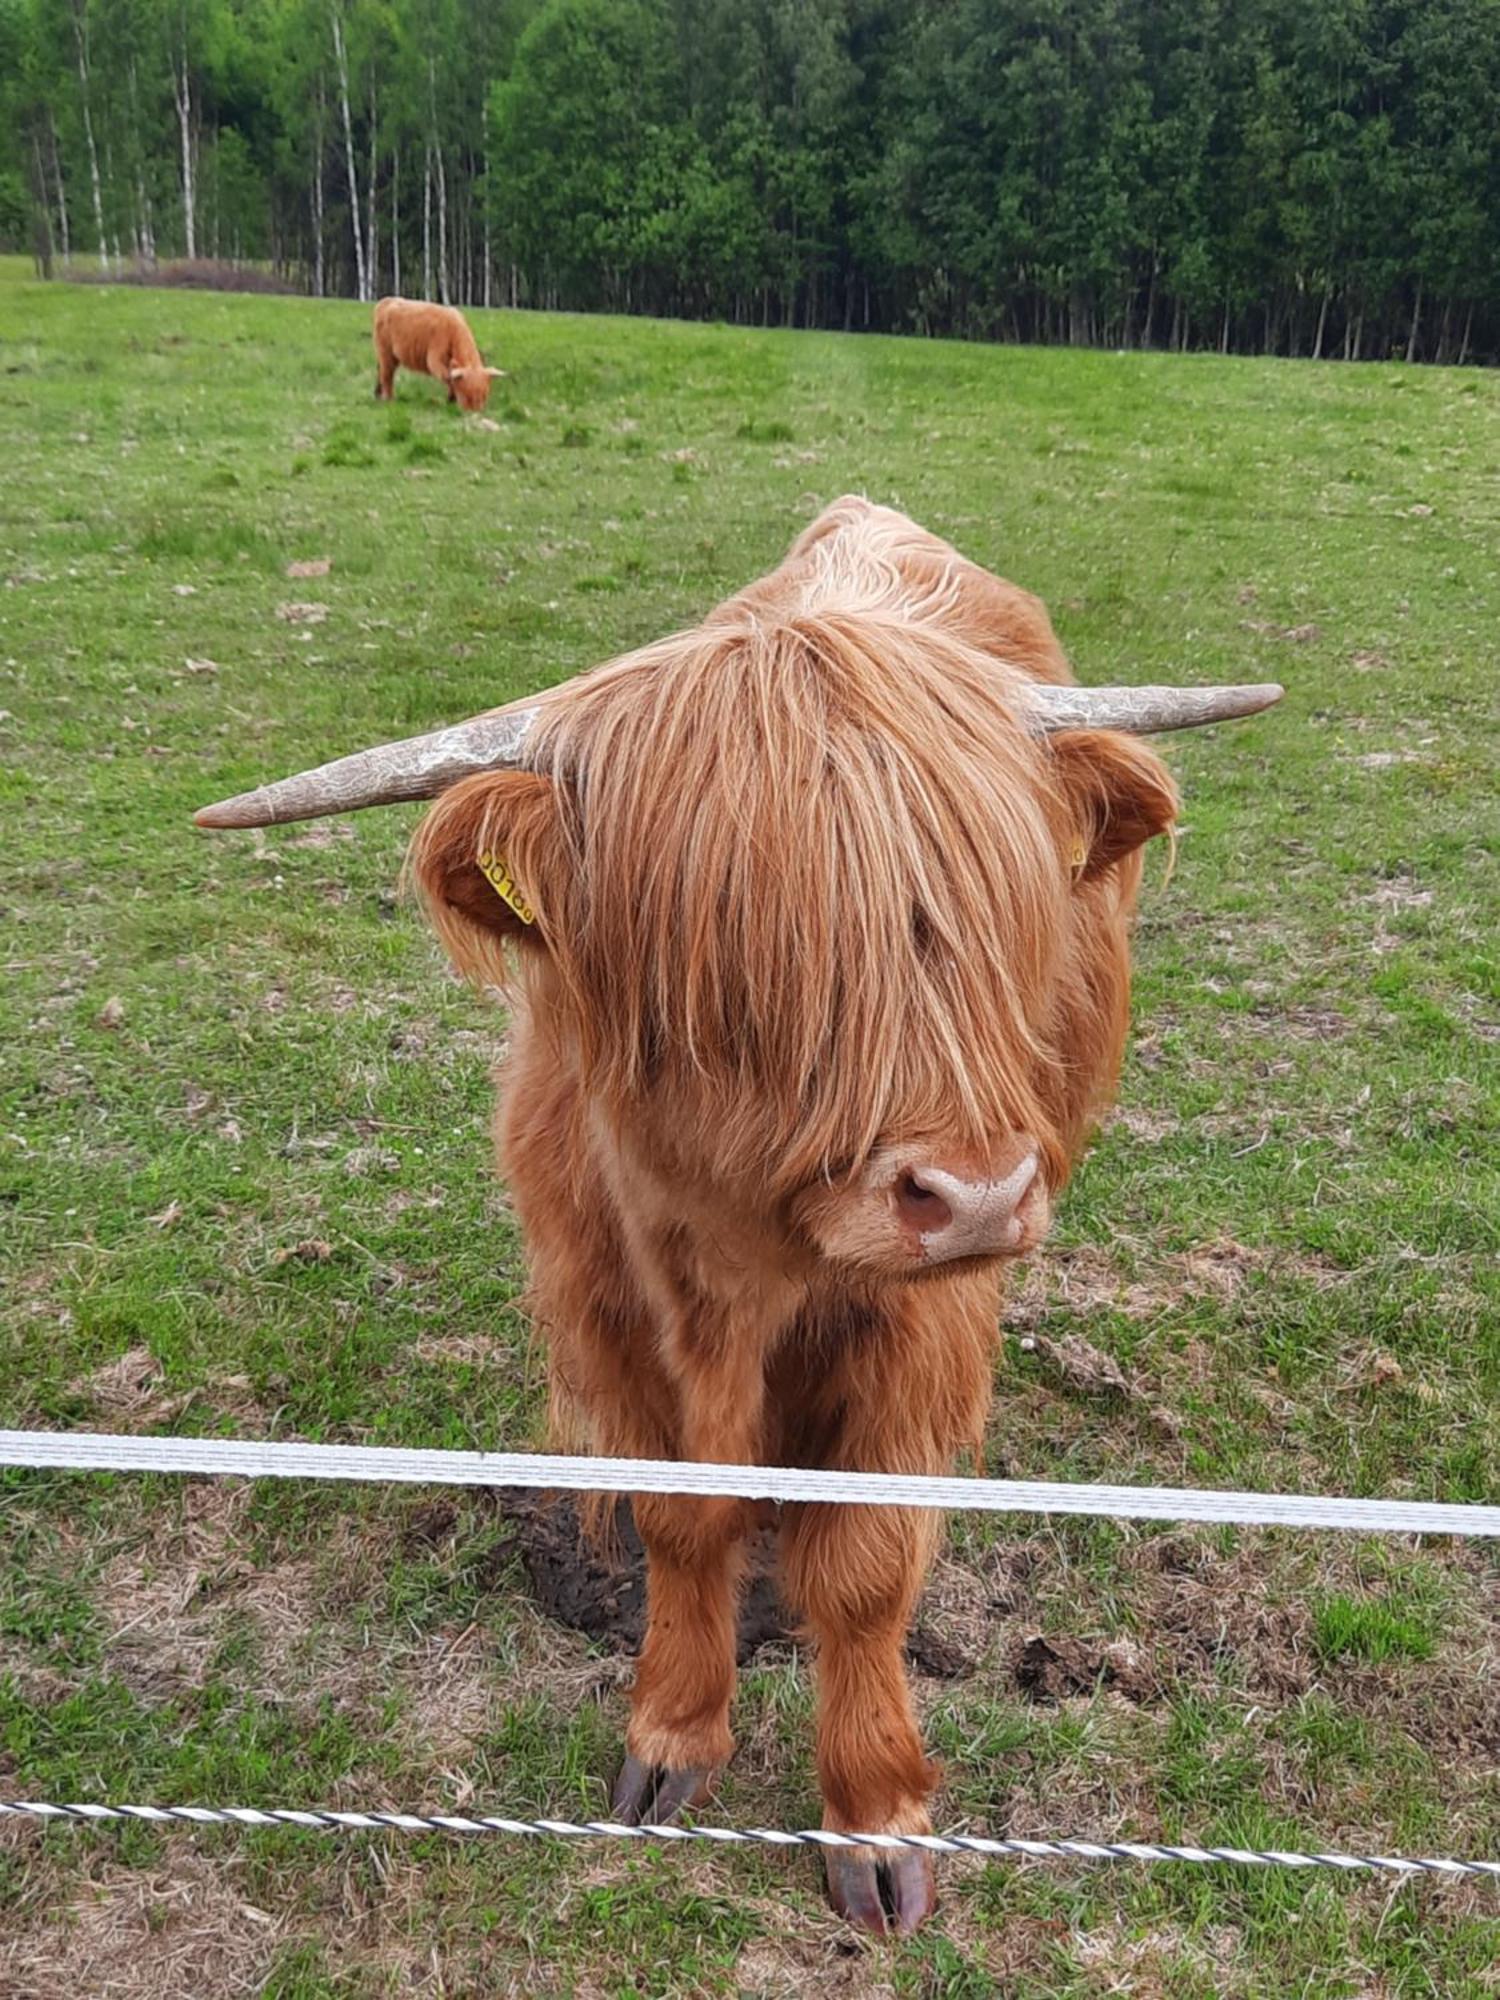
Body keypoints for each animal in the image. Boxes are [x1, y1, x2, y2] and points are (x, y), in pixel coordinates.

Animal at [194, 492, 1288, 1928]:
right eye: (746, 949)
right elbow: (682, 1514)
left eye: (995, 915)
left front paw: (874, 1815)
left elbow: (866, 1563)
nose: (978, 1194)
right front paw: (672, 1730)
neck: (738, 1262)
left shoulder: (922, 1326)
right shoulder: (606, 1299)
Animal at [374, 294, 508, 412]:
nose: (474, 412)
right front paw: (451, 399)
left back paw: (377, 394)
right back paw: (388, 398)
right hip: (385, 351)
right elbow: (448, 377)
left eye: (484, 395)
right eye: (466, 395)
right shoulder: (434, 358)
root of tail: (386, 301)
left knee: (381, 370)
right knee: (387, 373)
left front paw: (450, 400)